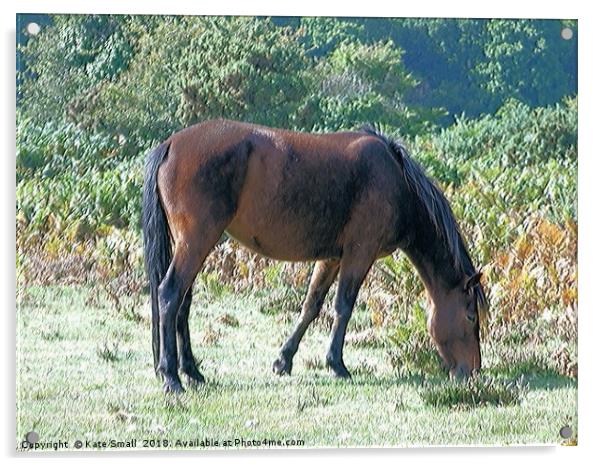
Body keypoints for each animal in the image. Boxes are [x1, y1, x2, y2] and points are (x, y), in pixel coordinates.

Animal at [142, 117, 488, 394]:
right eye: (471, 317)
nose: (472, 372)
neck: (395, 179)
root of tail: (171, 144)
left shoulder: (331, 257)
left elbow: (311, 305)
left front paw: (284, 360)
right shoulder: (360, 252)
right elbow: (343, 307)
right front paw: (337, 364)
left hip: (193, 244)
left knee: (183, 302)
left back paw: (192, 371)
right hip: (197, 240)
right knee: (170, 294)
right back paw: (171, 376)